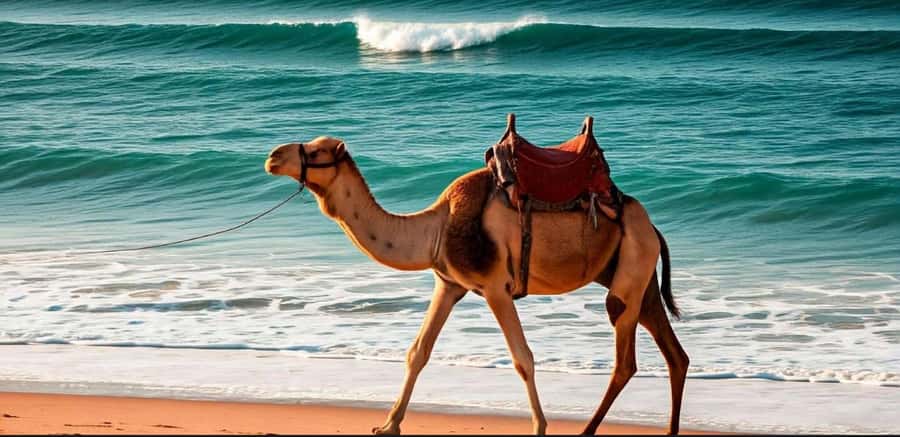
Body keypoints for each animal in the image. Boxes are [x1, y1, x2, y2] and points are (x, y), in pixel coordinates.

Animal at [263, 130, 689, 435]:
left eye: (316, 151)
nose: (273, 157)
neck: (435, 229)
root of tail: (652, 225)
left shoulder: (495, 287)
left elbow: (523, 359)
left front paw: (539, 427)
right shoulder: (449, 284)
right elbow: (418, 352)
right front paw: (388, 425)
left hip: (632, 264)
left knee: (625, 358)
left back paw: (586, 431)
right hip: (638, 275)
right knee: (674, 354)